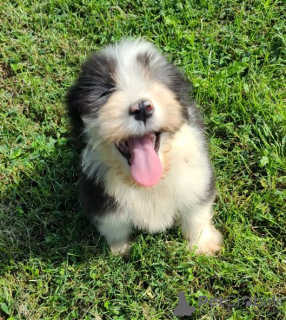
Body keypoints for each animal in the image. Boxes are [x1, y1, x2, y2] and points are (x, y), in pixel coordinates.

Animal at [66, 38, 221, 256]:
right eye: (105, 92)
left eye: (157, 83)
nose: (141, 108)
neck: (147, 184)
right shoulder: (98, 196)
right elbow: (114, 226)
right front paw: (119, 250)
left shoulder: (197, 179)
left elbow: (196, 214)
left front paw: (203, 245)